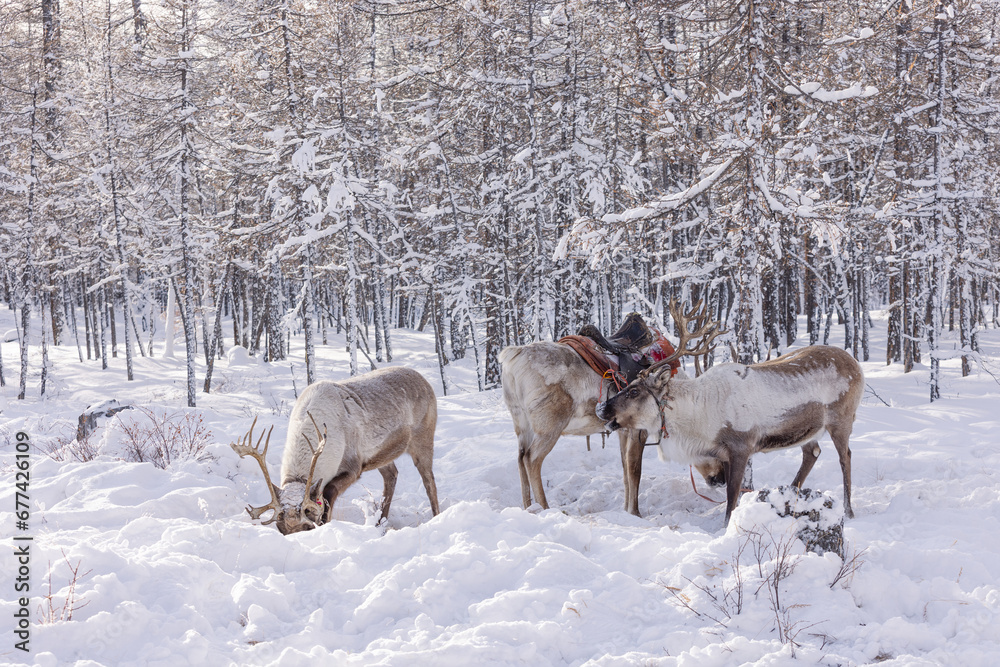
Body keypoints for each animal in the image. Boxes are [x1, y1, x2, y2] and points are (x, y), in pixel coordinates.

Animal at [231, 366, 440, 534]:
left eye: (308, 525)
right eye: (281, 528)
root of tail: (425, 381)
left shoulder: (354, 467)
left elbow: (328, 492)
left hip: (423, 439)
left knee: (429, 479)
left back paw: (436, 516)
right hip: (381, 456)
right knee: (392, 475)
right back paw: (380, 523)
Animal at [596, 300, 864, 526]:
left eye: (634, 391)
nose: (602, 408)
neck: (698, 418)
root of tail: (856, 364)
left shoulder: (741, 447)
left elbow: (732, 498)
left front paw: (726, 527)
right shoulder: (723, 454)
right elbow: (729, 497)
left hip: (841, 421)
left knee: (846, 457)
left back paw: (849, 511)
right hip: (810, 430)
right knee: (812, 453)